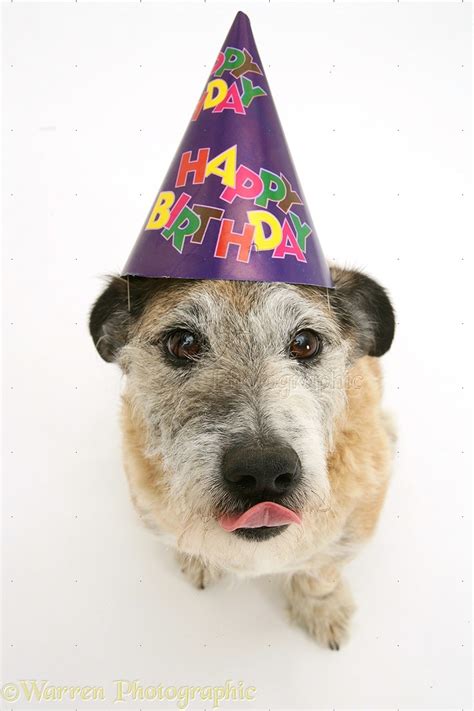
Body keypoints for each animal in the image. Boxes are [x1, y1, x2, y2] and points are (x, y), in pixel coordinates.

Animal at [90, 268, 396, 652]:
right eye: (183, 343)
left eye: (305, 343)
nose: (263, 470)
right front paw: (197, 559)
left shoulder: (352, 529)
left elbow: (319, 572)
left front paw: (321, 608)